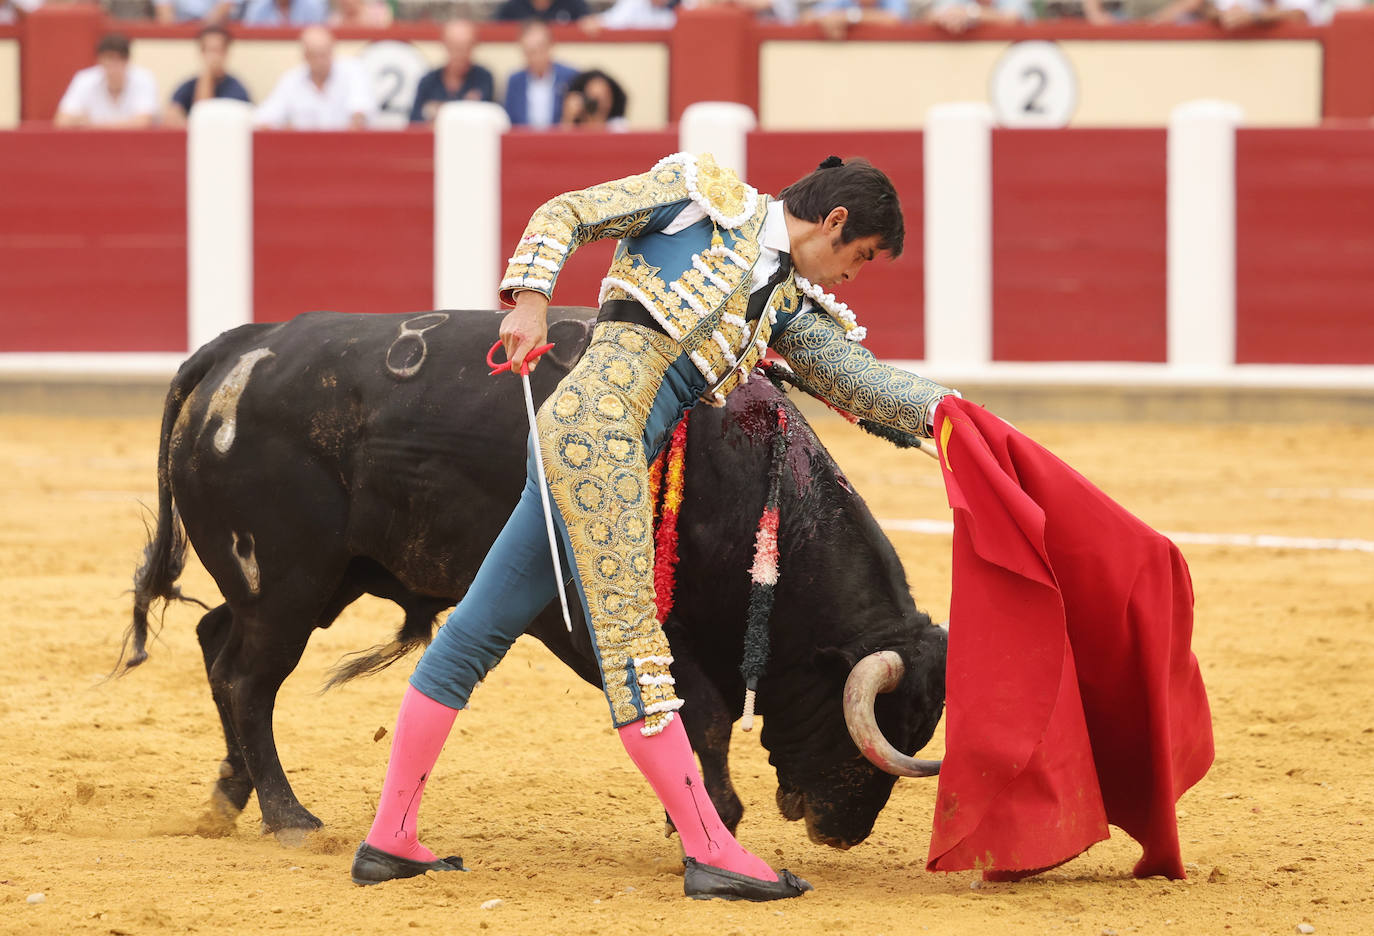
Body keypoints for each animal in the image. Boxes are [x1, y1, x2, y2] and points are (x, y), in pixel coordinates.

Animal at [123, 310, 950, 852]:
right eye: (881, 722)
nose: (843, 831)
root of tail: (240, 346)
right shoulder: (608, 618)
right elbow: (704, 716)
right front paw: (712, 818)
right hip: (288, 583)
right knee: (246, 679)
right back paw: (288, 816)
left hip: (314, 584)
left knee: (217, 645)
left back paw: (229, 798)